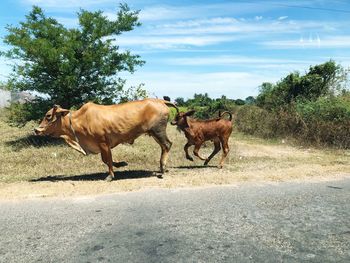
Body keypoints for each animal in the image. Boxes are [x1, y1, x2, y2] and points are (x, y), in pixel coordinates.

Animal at [34, 99, 178, 182]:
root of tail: (160, 101)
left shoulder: (103, 143)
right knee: (165, 146)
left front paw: (110, 176)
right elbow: (107, 159)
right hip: (153, 133)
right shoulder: (104, 145)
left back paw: (163, 168)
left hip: (158, 131)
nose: (36, 130)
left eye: (48, 116)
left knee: (167, 145)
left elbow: (107, 160)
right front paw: (121, 164)